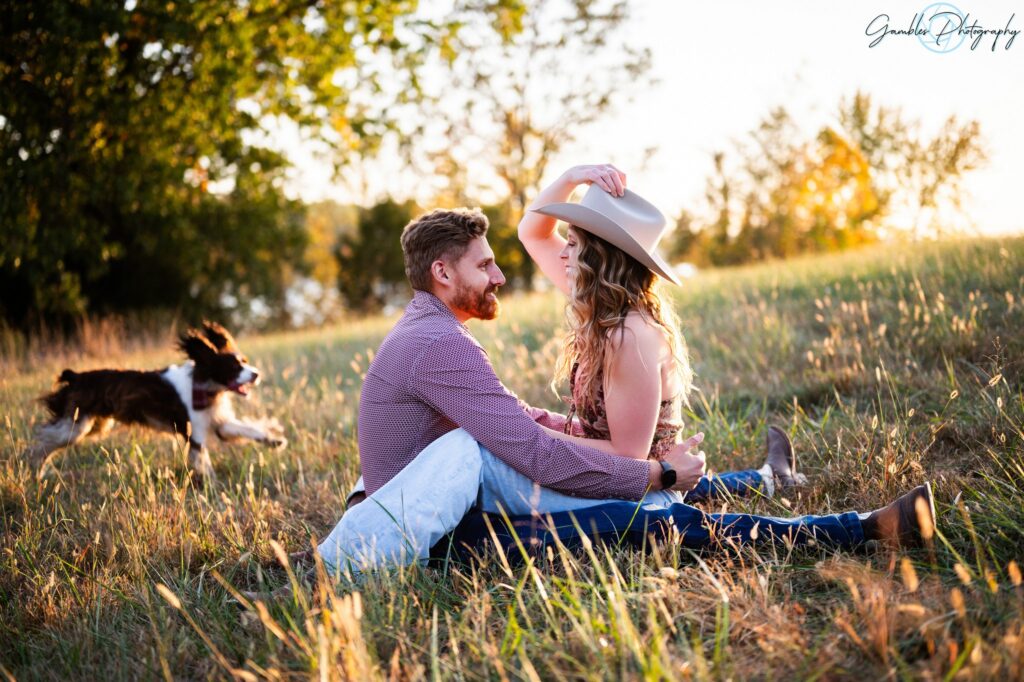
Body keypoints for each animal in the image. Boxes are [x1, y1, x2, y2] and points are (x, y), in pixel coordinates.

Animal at [24, 321, 288, 481]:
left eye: (245, 361)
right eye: (234, 367)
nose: (256, 374)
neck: (206, 385)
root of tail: (76, 376)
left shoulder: (219, 423)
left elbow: (250, 430)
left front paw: (275, 439)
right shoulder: (195, 434)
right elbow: (204, 462)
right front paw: (213, 487)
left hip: (93, 425)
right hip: (76, 425)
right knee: (43, 439)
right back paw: (34, 467)